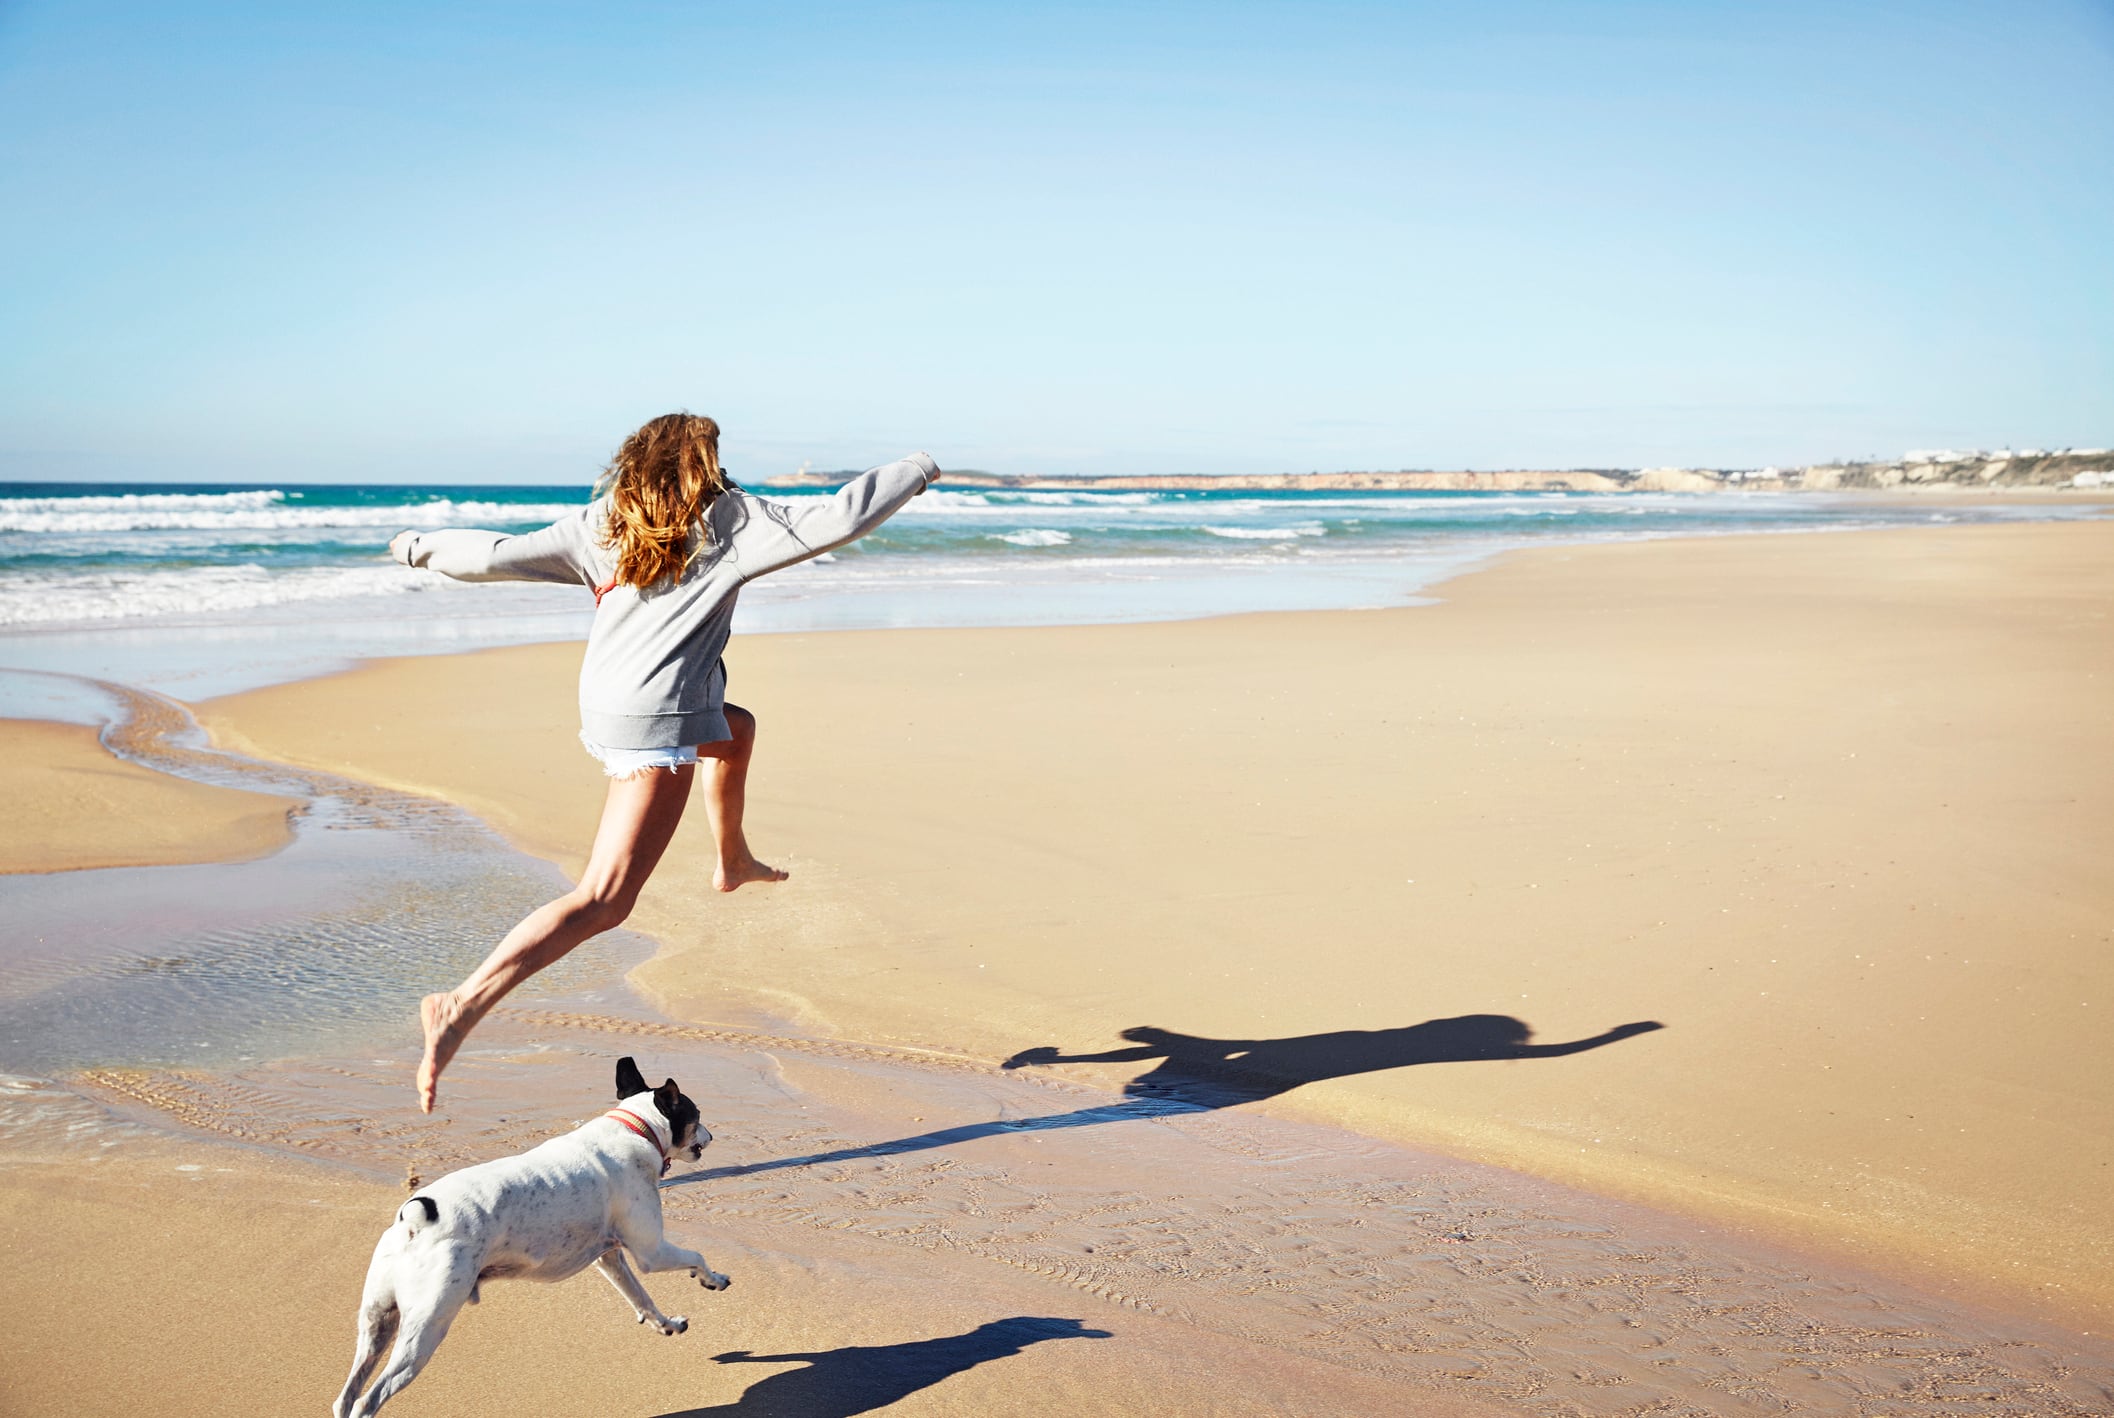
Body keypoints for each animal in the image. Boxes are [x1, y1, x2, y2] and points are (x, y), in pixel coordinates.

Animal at [329, 1060, 727, 1411]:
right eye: (697, 1114)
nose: (712, 1135)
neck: (636, 1128)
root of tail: (416, 1218)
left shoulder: (610, 1258)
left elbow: (641, 1298)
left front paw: (666, 1324)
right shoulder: (651, 1252)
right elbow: (696, 1257)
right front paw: (713, 1279)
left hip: (377, 1322)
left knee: (346, 1396)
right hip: (426, 1328)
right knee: (368, 1399)